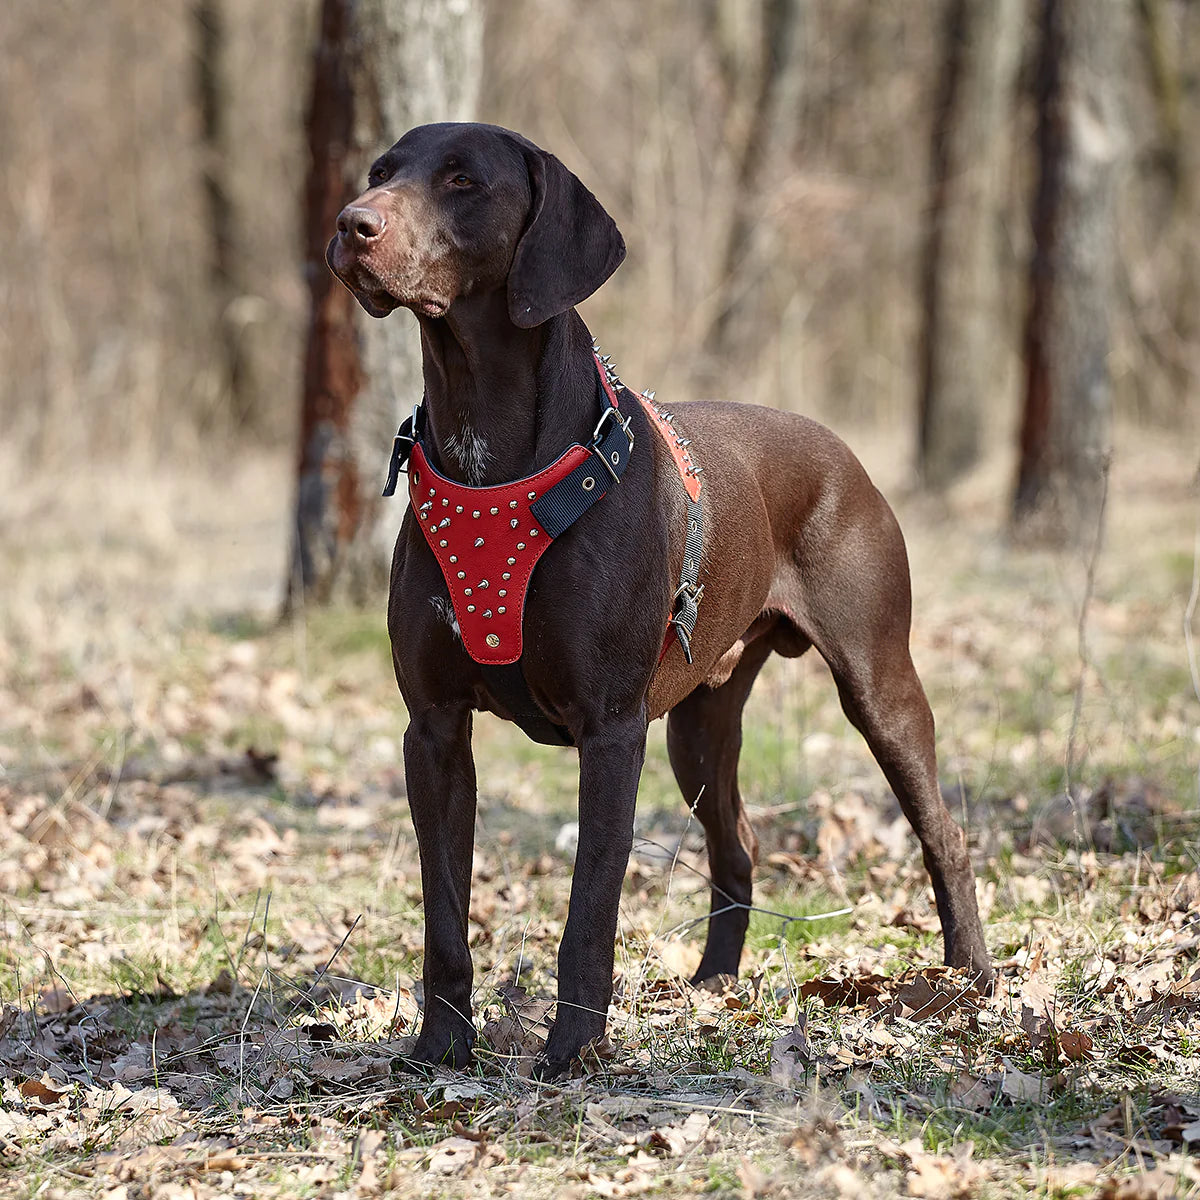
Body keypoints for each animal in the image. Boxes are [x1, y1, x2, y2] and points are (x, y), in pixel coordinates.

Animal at [324, 124, 988, 1080]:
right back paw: (713, 985)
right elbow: (444, 912)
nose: (351, 223)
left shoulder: (610, 730)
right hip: (697, 730)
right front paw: (440, 1048)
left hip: (878, 686)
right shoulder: (435, 729)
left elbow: (589, 910)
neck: (487, 442)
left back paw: (970, 977)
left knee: (945, 833)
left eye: (461, 181)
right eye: (381, 171)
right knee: (738, 848)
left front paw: (571, 1051)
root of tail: (842, 451)